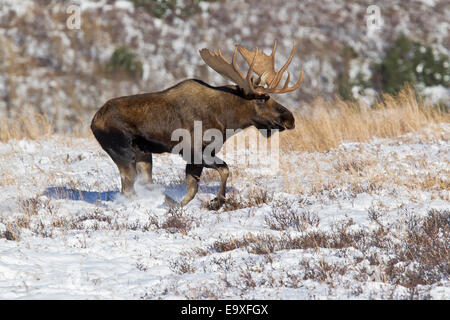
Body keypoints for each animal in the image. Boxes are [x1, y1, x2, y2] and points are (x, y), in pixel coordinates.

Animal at [90, 40, 304, 210]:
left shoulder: (196, 157)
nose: (289, 118)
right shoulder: (193, 151)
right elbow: (224, 169)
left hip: (143, 153)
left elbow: (192, 190)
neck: (226, 119)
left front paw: (181, 206)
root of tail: (93, 121)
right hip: (123, 151)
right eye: (261, 99)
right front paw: (216, 202)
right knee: (128, 188)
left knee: (145, 184)